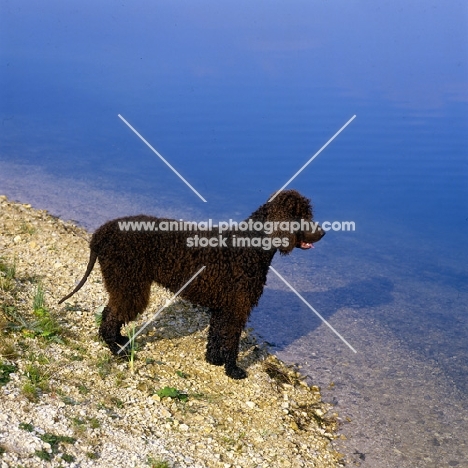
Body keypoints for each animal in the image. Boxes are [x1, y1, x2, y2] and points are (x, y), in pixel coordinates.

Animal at [59, 188, 326, 378]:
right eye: (300, 216)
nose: (323, 233)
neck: (250, 246)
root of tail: (102, 232)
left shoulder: (223, 307)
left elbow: (216, 335)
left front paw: (214, 361)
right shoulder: (238, 307)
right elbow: (232, 341)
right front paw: (233, 370)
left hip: (124, 284)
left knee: (110, 313)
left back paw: (120, 341)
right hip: (130, 284)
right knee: (111, 315)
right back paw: (115, 349)